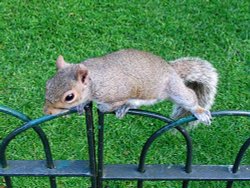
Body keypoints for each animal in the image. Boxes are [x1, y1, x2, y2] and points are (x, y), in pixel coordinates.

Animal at [44, 48, 218, 125]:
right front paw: (82, 105)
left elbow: (111, 104)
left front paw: (103, 107)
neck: (95, 81)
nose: (46, 112)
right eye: (47, 84)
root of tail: (171, 69)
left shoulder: (120, 92)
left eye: (69, 97)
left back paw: (200, 111)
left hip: (174, 89)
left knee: (189, 96)